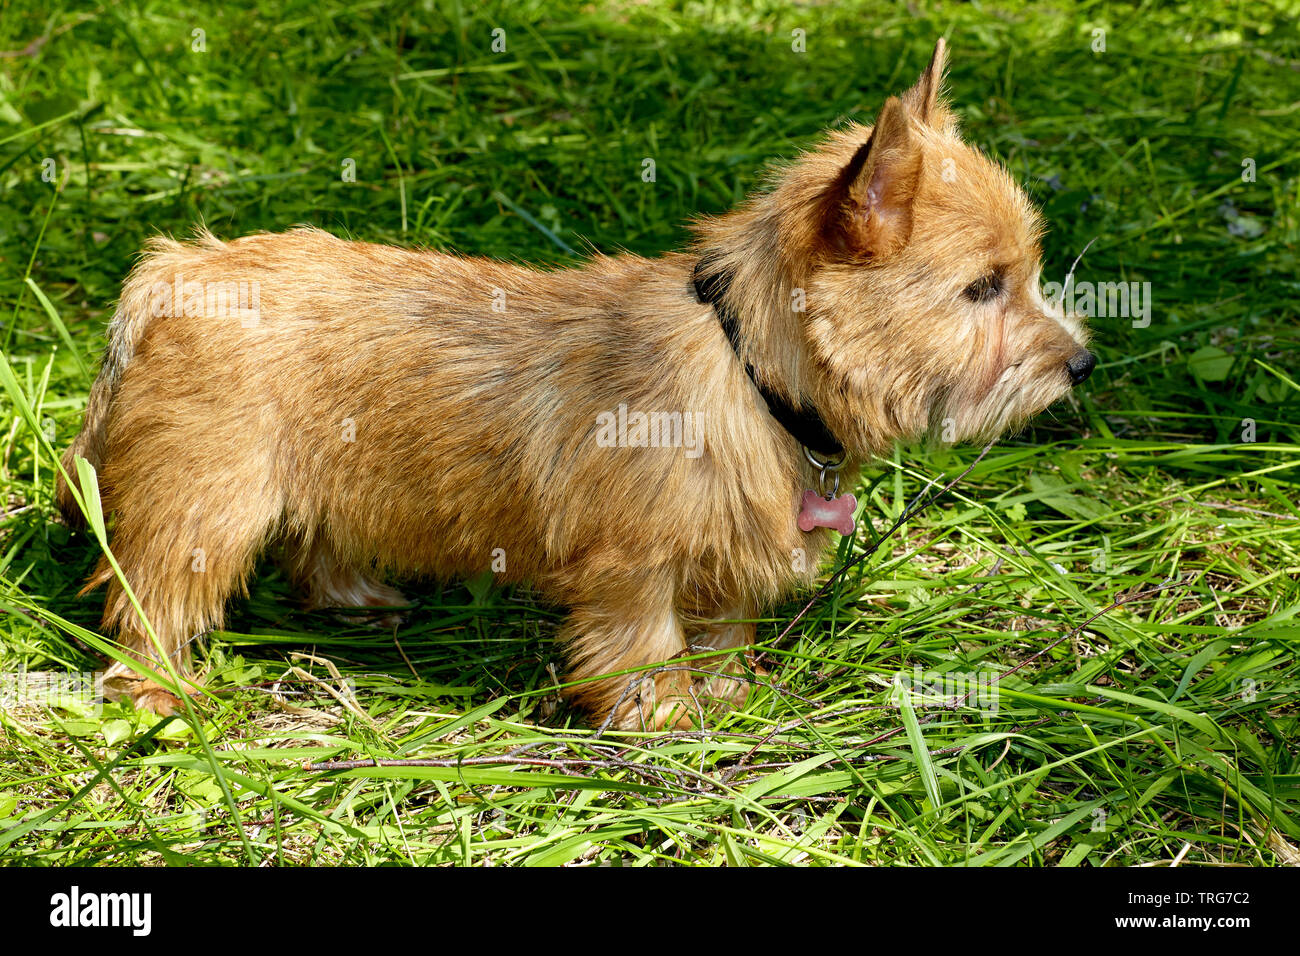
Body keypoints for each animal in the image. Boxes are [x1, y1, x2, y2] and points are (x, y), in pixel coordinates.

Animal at [58, 35, 1097, 723]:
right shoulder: (628, 572)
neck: (747, 367)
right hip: (204, 509)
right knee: (148, 602)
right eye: (983, 288)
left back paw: (355, 596)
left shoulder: (723, 558)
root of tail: (174, 270)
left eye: (1024, 274)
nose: (1082, 361)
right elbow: (647, 651)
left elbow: (722, 631)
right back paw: (155, 693)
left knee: (314, 538)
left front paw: (730, 696)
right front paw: (668, 729)